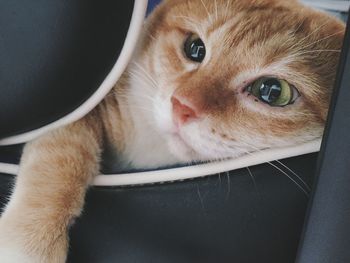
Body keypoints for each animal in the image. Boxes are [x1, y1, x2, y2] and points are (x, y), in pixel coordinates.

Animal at [0, 1, 344, 262]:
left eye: (273, 91)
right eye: (195, 48)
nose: (182, 106)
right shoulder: (82, 115)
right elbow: (62, 156)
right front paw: (29, 241)